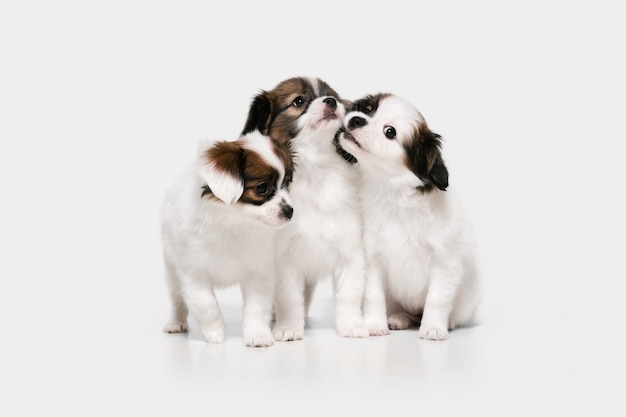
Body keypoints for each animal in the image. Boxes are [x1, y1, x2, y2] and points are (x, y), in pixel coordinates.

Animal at [158, 129, 290, 344]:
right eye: (262, 188)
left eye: (287, 183)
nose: (290, 211)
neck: (233, 221)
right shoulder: (194, 272)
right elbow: (206, 304)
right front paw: (216, 334)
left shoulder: (259, 271)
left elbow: (257, 306)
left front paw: (258, 334)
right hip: (172, 269)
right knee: (177, 298)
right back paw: (176, 322)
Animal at [238, 76, 366, 340]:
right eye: (299, 101)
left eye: (333, 97)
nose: (330, 101)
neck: (314, 168)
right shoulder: (285, 260)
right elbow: (289, 298)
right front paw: (288, 327)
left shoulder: (349, 250)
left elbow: (349, 293)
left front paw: (351, 325)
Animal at [336, 92, 478, 340]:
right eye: (368, 109)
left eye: (389, 132)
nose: (356, 119)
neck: (396, 194)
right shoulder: (374, 259)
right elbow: (374, 295)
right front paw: (374, 324)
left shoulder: (445, 263)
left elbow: (437, 299)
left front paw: (433, 327)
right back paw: (398, 318)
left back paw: (447, 323)